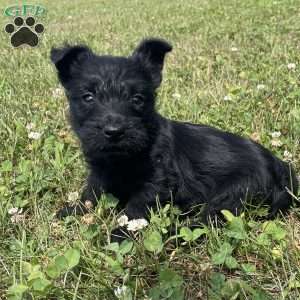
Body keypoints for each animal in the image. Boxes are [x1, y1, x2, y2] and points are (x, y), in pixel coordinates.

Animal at [51, 37, 298, 225]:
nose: (114, 131)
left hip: (233, 196)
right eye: (88, 97)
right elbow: (90, 195)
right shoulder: (99, 173)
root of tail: (280, 166)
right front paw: (70, 212)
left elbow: (134, 211)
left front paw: (119, 235)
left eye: (137, 99)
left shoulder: (156, 182)